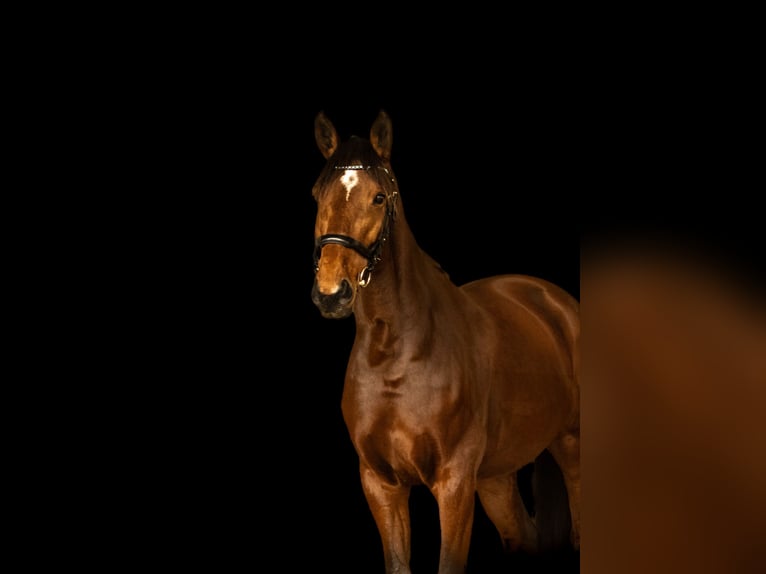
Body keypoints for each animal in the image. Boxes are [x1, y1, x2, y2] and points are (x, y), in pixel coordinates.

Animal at [310, 109, 580, 573]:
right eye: (315, 194)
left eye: (378, 198)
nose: (331, 293)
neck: (396, 356)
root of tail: (554, 301)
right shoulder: (381, 484)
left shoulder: (453, 483)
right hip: (495, 478)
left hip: (571, 447)